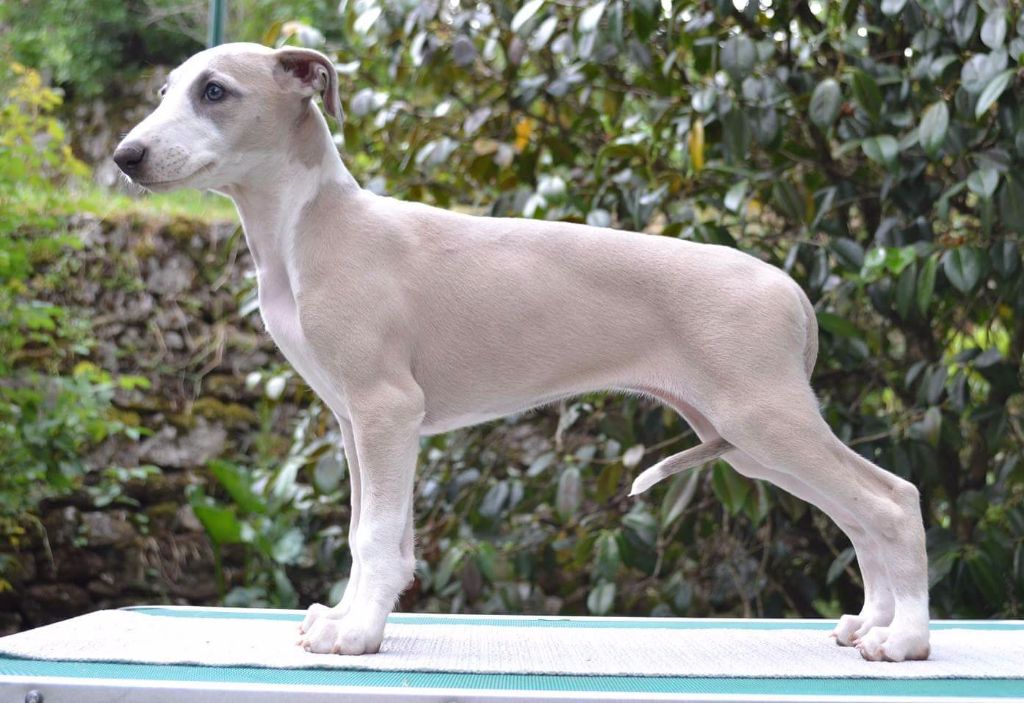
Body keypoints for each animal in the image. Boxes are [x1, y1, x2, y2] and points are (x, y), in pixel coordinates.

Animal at [113, 43, 930, 662]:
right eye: (165, 91)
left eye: (214, 91)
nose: (126, 156)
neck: (311, 227)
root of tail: (791, 290)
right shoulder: (355, 423)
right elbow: (367, 530)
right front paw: (349, 618)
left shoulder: (386, 411)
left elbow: (373, 535)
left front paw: (357, 633)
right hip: (747, 441)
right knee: (858, 513)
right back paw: (872, 622)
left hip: (764, 418)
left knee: (892, 499)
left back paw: (906, 639)